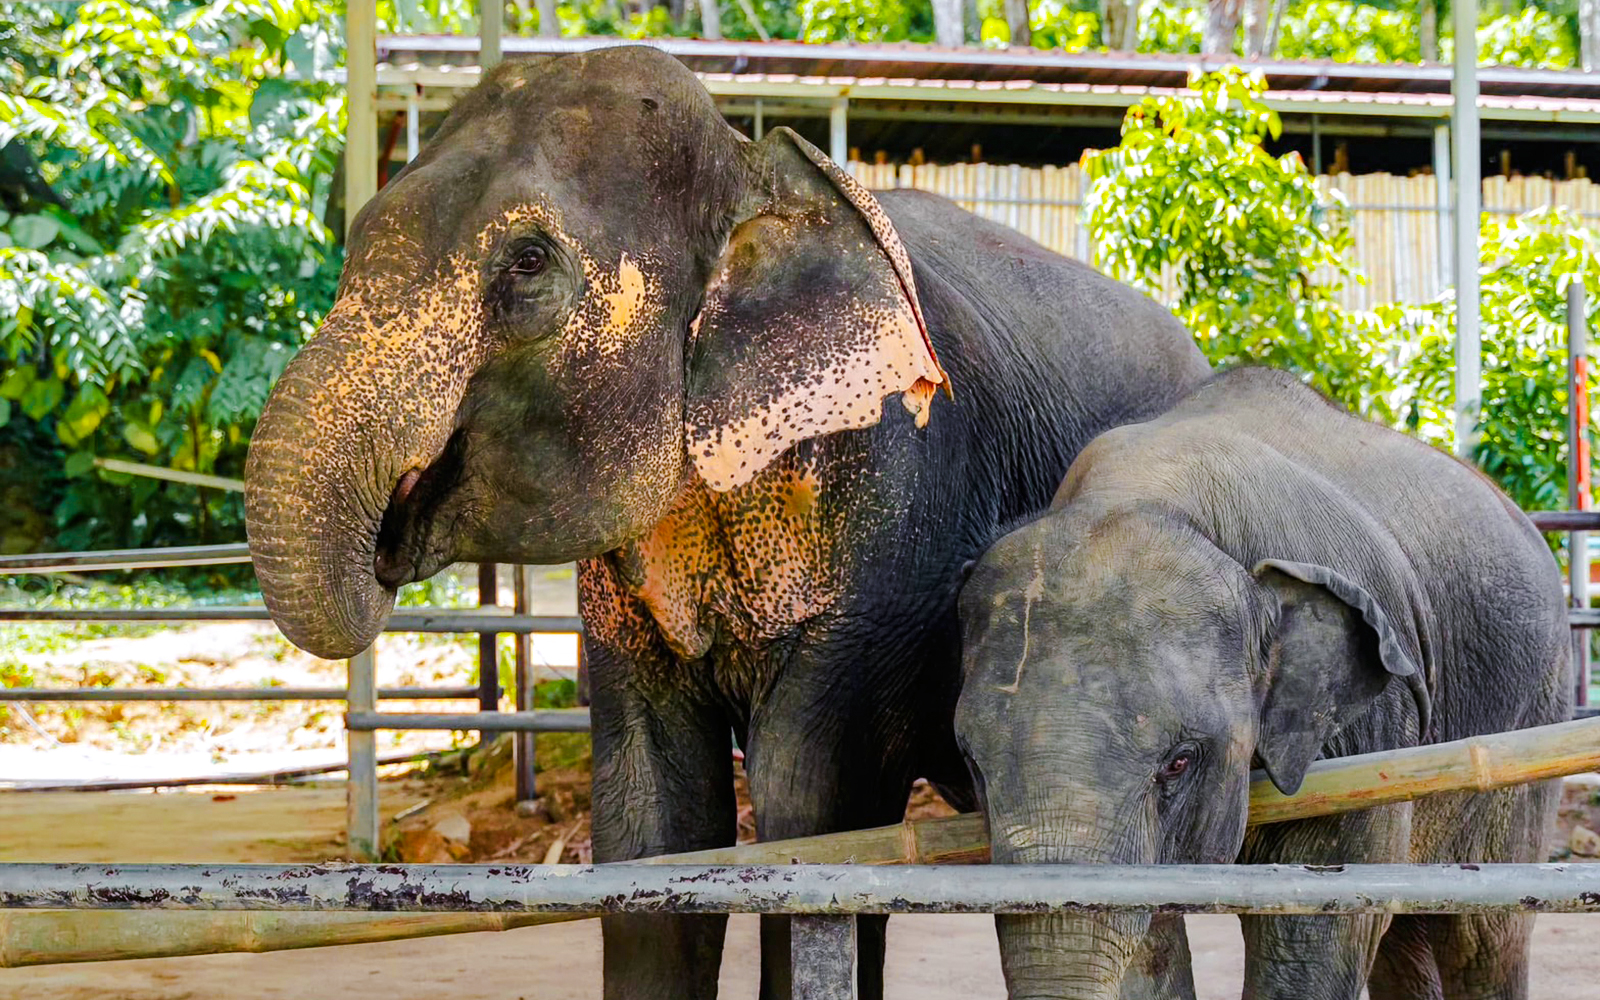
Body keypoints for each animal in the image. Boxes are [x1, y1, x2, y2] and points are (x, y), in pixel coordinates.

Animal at [243, 45, 1213, 999]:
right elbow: (654, 817)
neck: (753, 169)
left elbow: (810, 807)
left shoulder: (896, 526)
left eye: (526, 262)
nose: (388, 530)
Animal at [955, 366, 1571, 1000]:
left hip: (1534, 711)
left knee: (1482, 938)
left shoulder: (1365, 731)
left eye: (1179, 761)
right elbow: (1149, 948)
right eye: (970, 761)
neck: (1149, 491)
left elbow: (1318, 925)